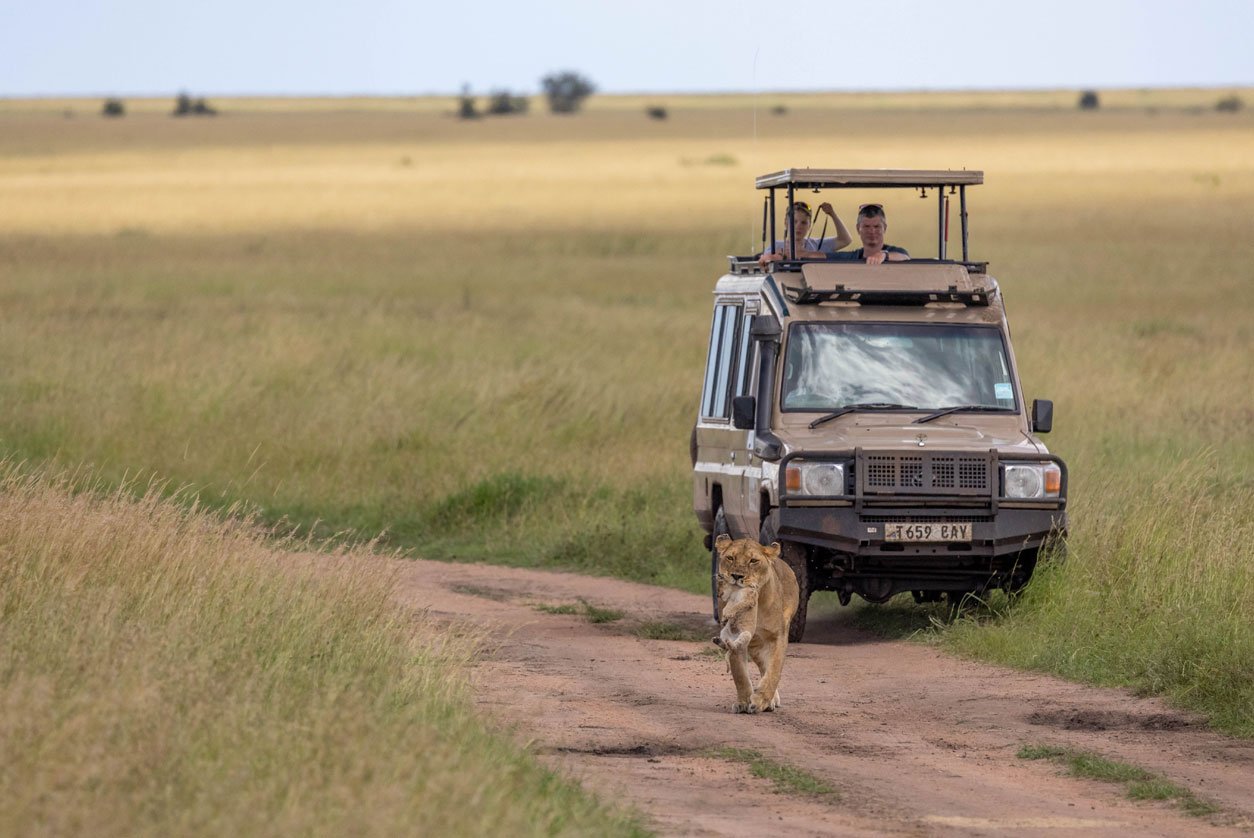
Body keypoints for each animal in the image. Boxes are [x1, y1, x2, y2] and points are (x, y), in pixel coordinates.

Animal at [711, 534, 800, 714]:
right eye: (730, 558)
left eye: (753, 561)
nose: (737, 576)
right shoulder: (737, 636)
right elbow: (739, 673)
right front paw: (744, 701)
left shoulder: (778, 636)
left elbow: (774, 671)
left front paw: (760, 700)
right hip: (755, 646)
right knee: (760, 663)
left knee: (767, 667)